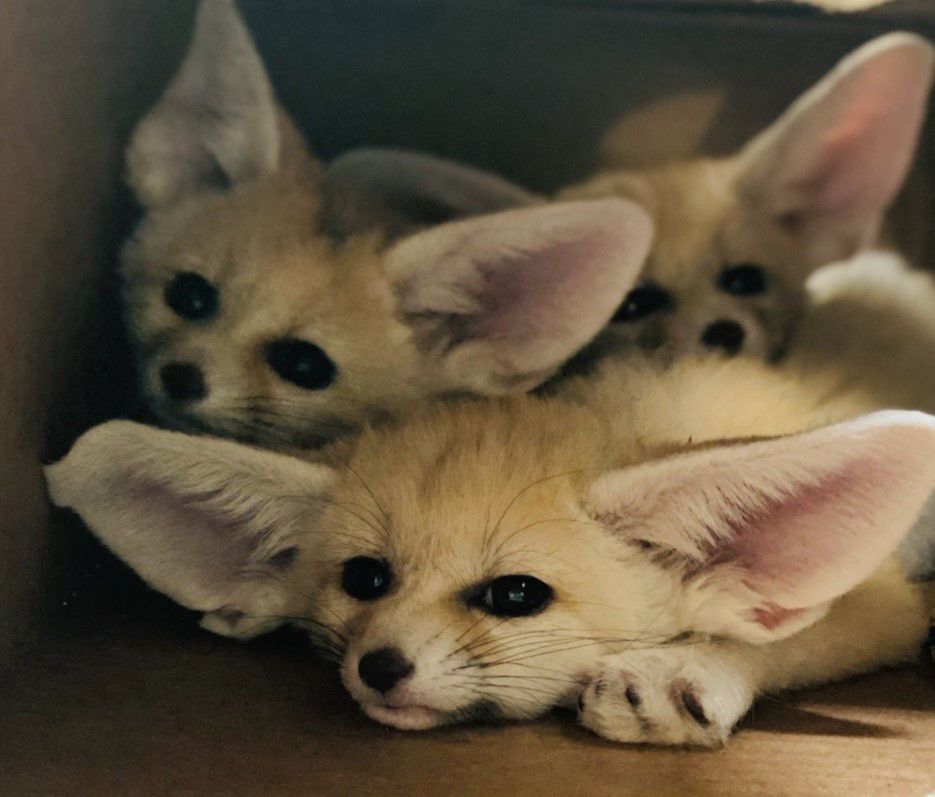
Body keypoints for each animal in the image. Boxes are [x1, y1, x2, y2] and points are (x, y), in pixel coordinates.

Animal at [45, 253, 935, 746]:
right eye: (365, 579)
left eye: (515, 595)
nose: (380, 666)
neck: (643, 407)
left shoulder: (888, 600)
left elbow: (788, 636)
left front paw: (688, 665)